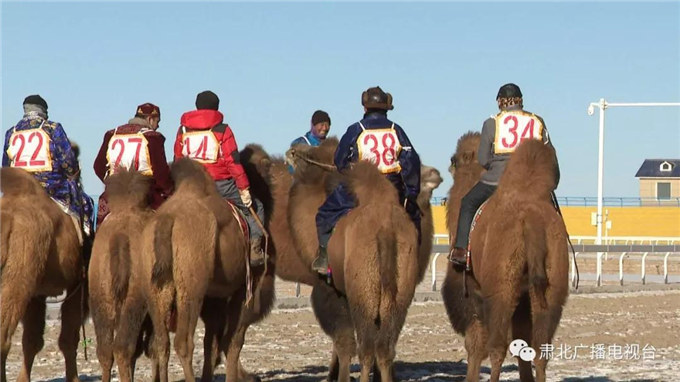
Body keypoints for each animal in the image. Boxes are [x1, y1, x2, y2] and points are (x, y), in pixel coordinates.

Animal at [286, 141, 440, 382]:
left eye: (310, 150)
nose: (292, 150)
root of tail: (385, 229)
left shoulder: (333, 290)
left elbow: (343, 340)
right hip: (399, 293)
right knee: (385, 347)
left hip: (364, 290)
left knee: (366, 347)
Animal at [440, 134, 568, 382]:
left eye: (455, 159)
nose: (449, 164)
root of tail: (531, 220)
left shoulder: (471, 290)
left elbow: (475, 343)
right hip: (551, 290)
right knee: (540, 350)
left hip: (502, 289)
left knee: (497, 347)